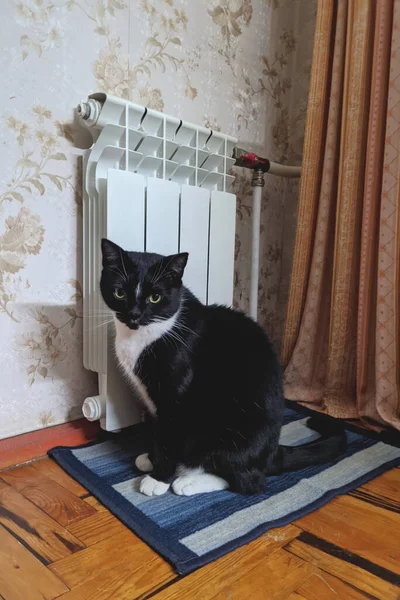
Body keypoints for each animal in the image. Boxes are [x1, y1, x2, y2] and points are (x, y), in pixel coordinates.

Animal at [100, 239, 346, 496]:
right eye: (119, 292)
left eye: (155, 297)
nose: (134, 314)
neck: (144, 336)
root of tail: (272, 454)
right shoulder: (151, 403)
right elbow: (158, 434)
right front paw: (152, 458)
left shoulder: (173, 401)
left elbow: (169, 438)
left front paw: (159, 478)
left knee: (249, 482)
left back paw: (188, 481)